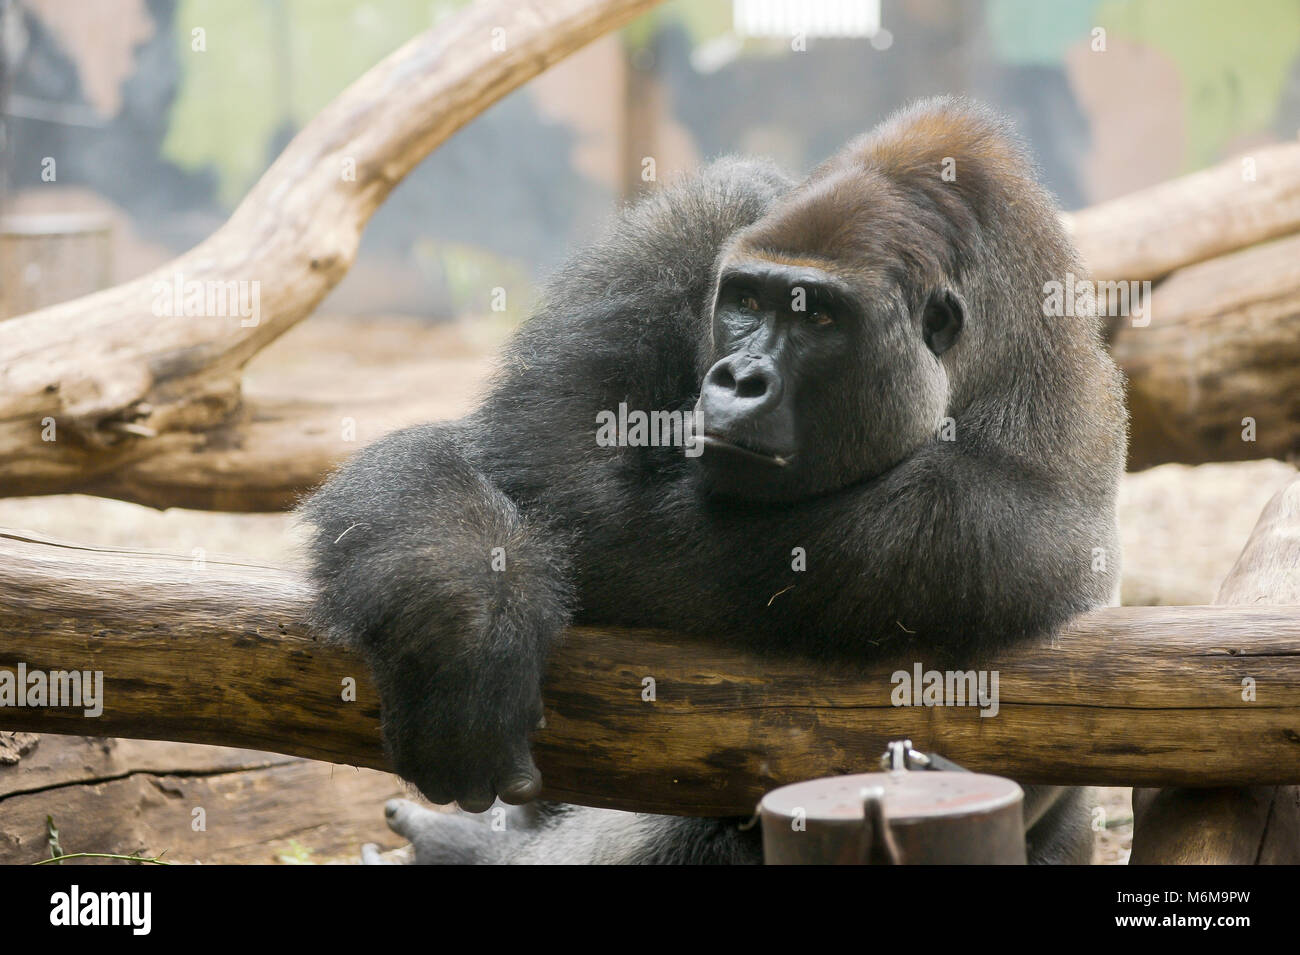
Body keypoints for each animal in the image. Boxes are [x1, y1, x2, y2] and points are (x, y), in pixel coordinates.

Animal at [304, 97, 1128, 867]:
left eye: (820, 318)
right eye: (748, 302)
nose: (739, 378)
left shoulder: (980, 523)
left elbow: (595, 523)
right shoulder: (707, 216)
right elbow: (512, 456)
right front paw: (462, 616)